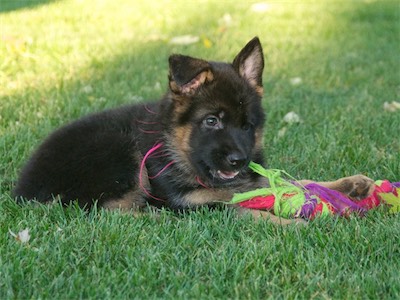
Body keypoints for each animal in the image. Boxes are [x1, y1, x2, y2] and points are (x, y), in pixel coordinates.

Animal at [12, 37, 376, 224]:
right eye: (211, 121)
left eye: (247, 126)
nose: (238, 160)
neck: (176, 147)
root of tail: (23, 189)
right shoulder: (188, 199)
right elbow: (234, 205)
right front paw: (292, 221)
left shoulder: (246, 178)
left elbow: (289, 182)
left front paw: (347, 186)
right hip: (117, 149)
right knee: (107, 211)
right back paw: (157, 217)